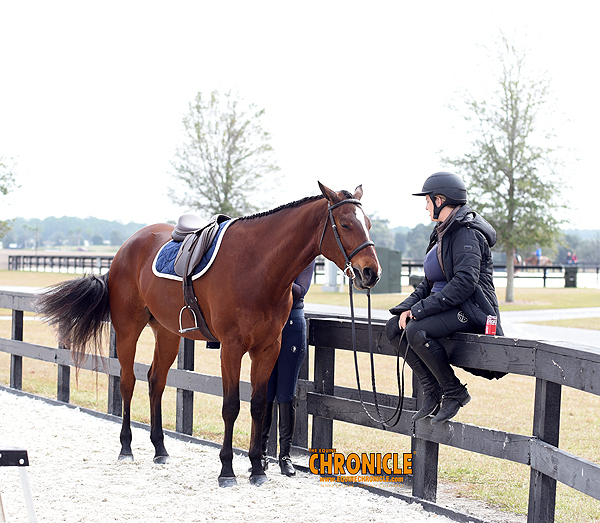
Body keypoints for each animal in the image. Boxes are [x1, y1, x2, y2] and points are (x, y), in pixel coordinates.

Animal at [35, 182, 381, 487]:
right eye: (346, 224)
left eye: (369, 224)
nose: (371, 272)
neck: (258, 264)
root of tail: (126, 248)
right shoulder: (231, 348)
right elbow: (231, 406)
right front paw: (227, 471)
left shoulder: (268, 348)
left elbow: (258, 404)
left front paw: (257, 469)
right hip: (128, 330)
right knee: (128, 382)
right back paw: (126, 448)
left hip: (168, 334)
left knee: (155, 381)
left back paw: (160, 449)